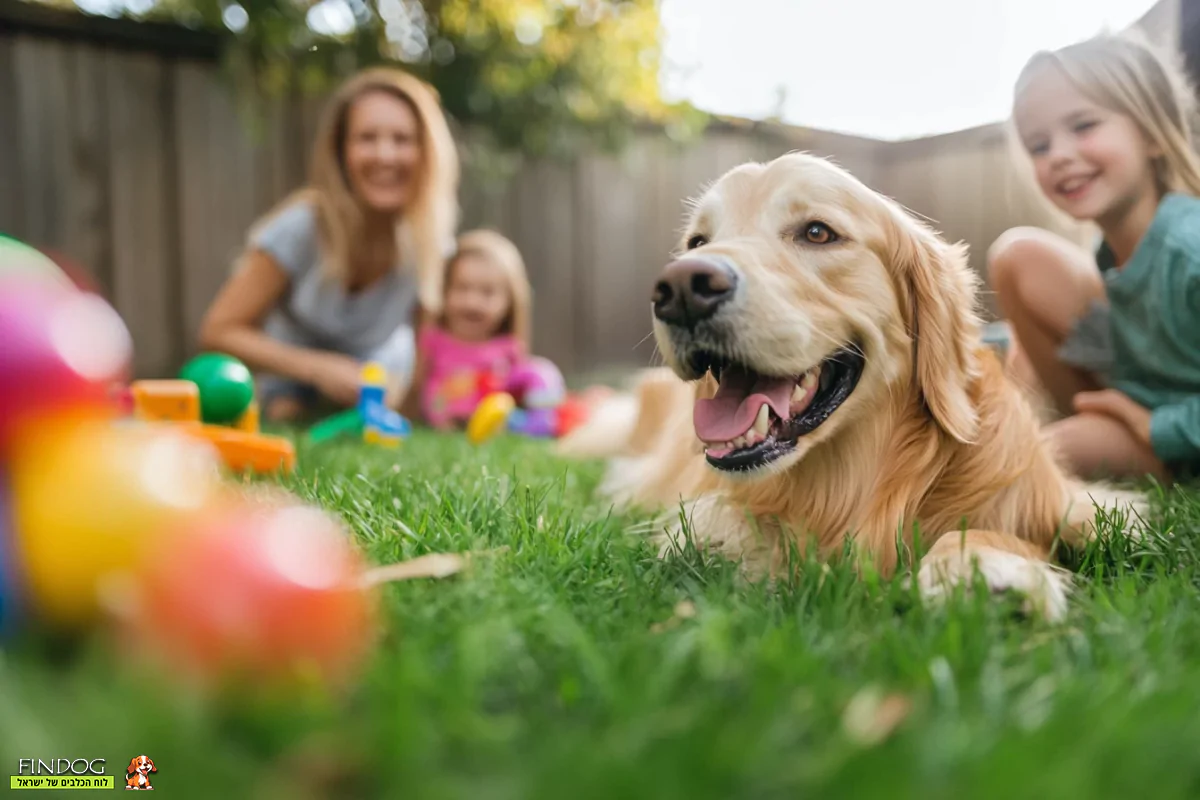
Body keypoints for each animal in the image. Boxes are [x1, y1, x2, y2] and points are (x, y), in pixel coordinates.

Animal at [561, 151, 1142, 618]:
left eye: (817, 232)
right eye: (697, 242)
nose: (680, 288)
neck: (860, 479)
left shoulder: (1087, 502)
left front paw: (985, 567)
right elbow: (719, 520)